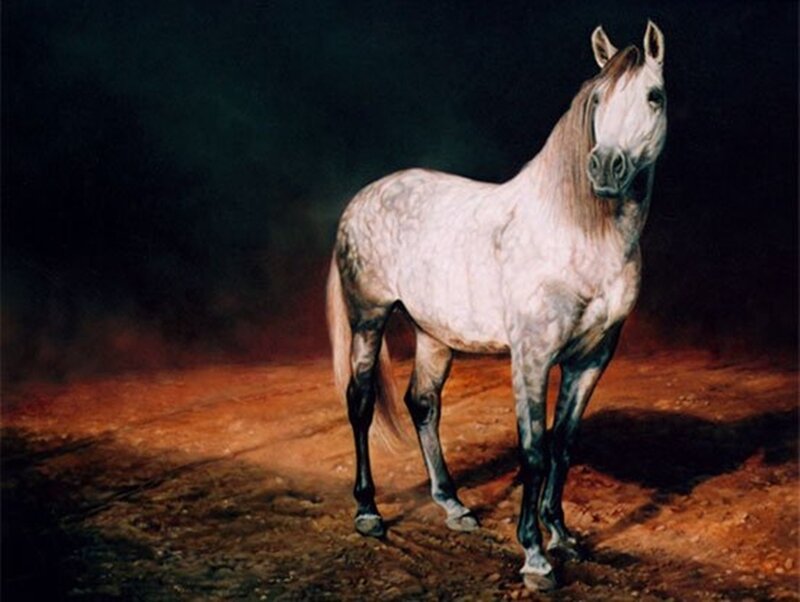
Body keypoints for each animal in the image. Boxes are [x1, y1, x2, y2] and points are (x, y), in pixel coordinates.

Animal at [326, 21, 667, 591]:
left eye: (654, 96)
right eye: (597, 99)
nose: (604, 167)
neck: (579, 232)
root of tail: (363, 197)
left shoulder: (591, 359)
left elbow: (562, 445)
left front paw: (562, 536)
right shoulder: (531, 355)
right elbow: (532, 450)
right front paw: (535, 557)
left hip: (434, 334)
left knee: (423, 404)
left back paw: (453, 506)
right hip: (369, 320)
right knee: (361, 402)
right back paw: (368, 512)